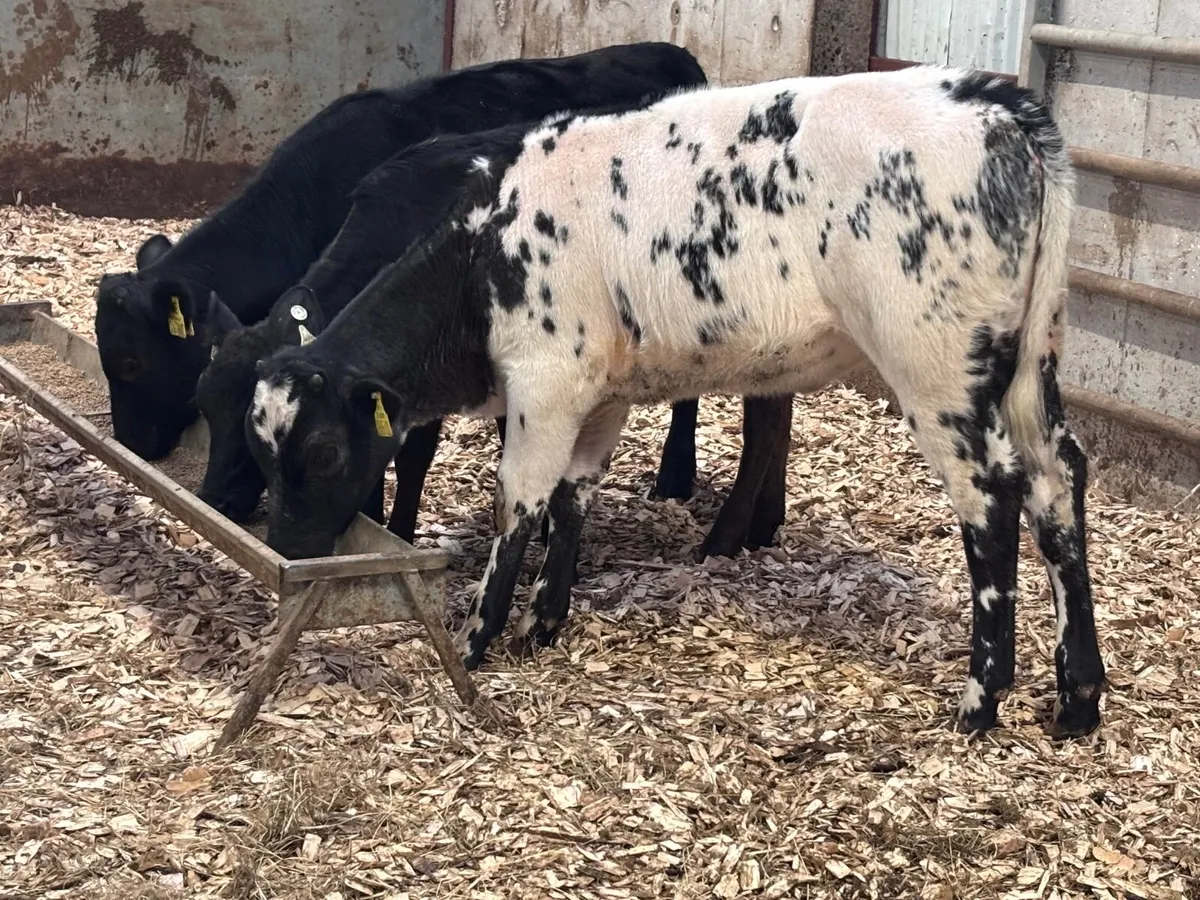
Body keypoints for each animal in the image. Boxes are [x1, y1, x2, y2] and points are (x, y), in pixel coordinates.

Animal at [246, 66, 1106, 737]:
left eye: (323, 451)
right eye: (261, 451)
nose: (284, 548)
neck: (482, 256)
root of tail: (996, 101)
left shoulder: (544, 383)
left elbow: (516, 506)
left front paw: (478, 638)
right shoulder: (598, 394)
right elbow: (572, 498)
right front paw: (542, 622)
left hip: (938, 365)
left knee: (992, 500)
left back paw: (981, 699)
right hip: (1032, 360)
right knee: (1059, 480)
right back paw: (1078, 697)